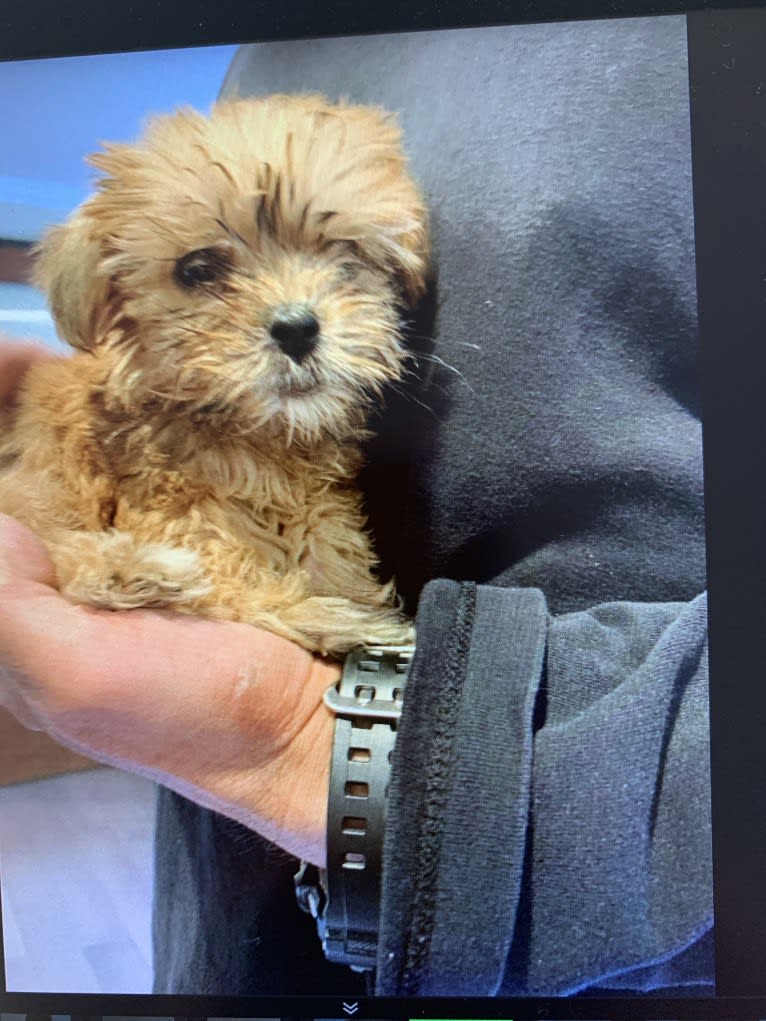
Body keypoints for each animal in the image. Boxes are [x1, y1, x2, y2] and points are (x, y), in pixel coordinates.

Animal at [0, 95, 428, 653]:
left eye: (346, 250)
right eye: (196, 270)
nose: (296, 328)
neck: (259, 444)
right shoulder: (184, 523)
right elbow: (236, 592)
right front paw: (334, 616)